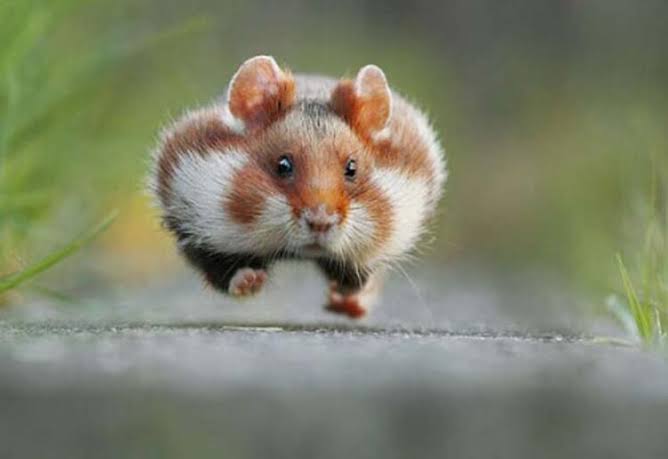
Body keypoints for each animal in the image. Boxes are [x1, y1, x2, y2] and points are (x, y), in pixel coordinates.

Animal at [149, 55, 447, 319]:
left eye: (352, 168)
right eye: (283, 165)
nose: (320, 222)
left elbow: (360, 275)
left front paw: (343, 290)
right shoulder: (195, 225)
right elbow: (223, 271)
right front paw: (251, 282)